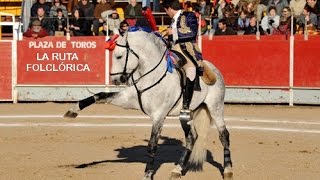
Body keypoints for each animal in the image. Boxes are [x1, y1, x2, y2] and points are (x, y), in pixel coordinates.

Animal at [63, 28, 232, 179]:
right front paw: (73, 110)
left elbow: (152, 145)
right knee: (191, 137)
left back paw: (228, 170)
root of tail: (214, 70)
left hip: (216, 107)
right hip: (187, 114)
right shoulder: (127, 100)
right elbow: (100, 95)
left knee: (223, 134)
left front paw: (148, 174)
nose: (115, 80)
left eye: (119, 56)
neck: (149, 74)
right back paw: (177, 169)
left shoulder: (159, 116)